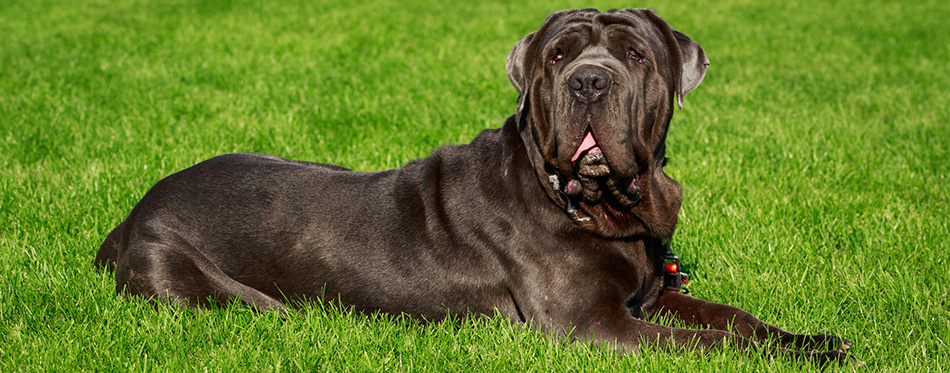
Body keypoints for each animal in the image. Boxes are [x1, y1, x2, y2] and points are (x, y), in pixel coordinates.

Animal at [98, 8, 864, 364]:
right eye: (557, 56)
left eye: (637, 54)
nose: (590, 81)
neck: (597, 205)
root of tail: (130, 214)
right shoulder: (593, 324)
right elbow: (709, 344)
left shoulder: (654, 292)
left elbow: (735, 319)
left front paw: (815, 341)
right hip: (209, 289)